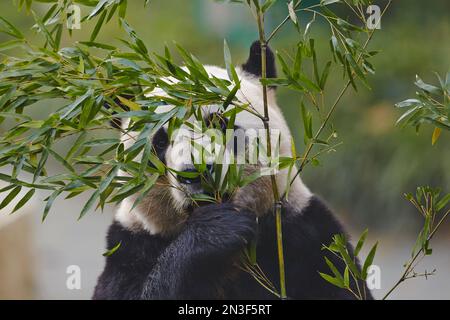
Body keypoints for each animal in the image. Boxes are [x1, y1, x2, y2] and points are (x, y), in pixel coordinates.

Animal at [92, 42, 372, 300]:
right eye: (160, 142)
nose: (196, 171)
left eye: (218, 123)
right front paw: (215, 233)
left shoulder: (305, 234)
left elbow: (341, 283)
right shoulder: (131, 246)